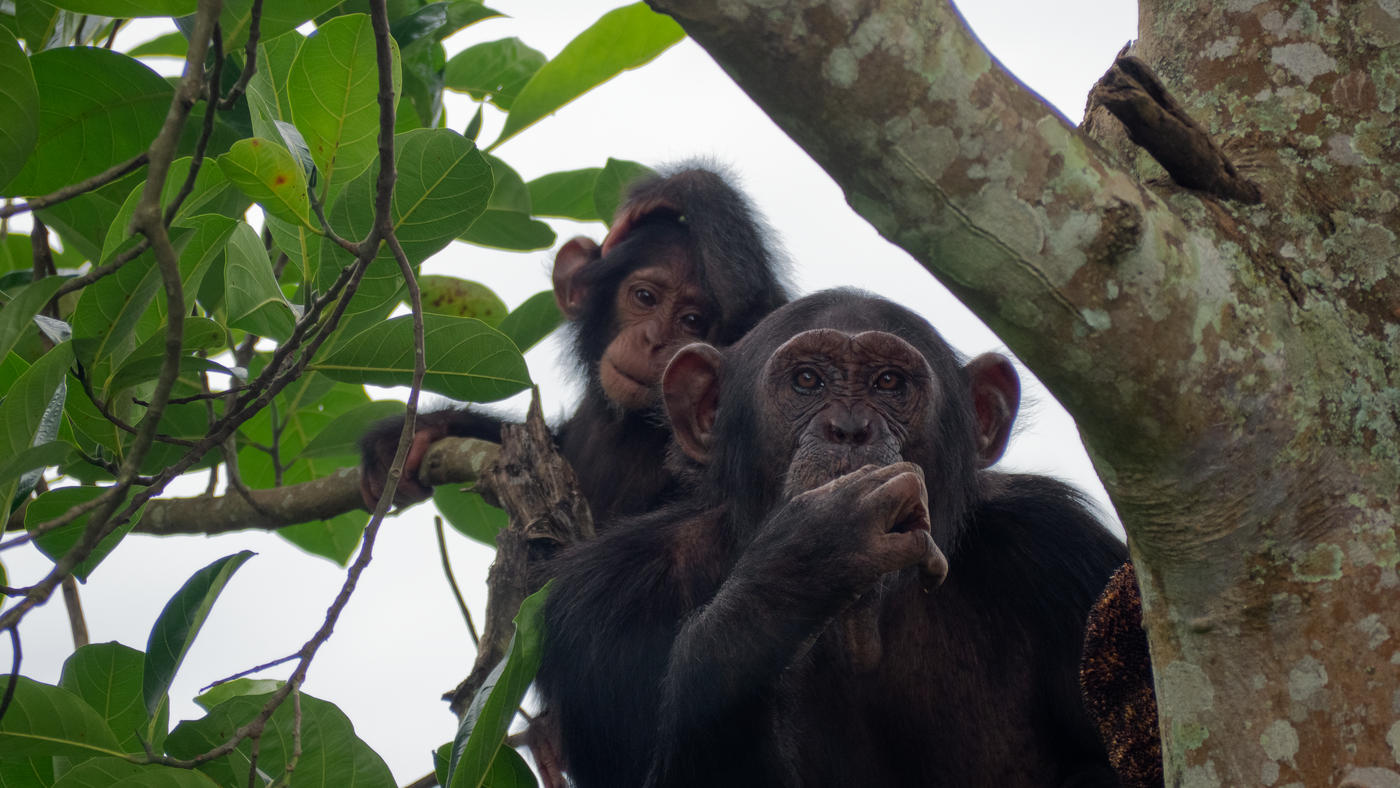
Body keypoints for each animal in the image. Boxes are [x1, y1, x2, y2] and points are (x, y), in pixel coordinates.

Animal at [534, 291, 1125, 788]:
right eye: (807, 381)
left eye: (888, 382)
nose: (849, 429)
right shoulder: (608, 605)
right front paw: (808, 558)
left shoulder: (1065, 553)